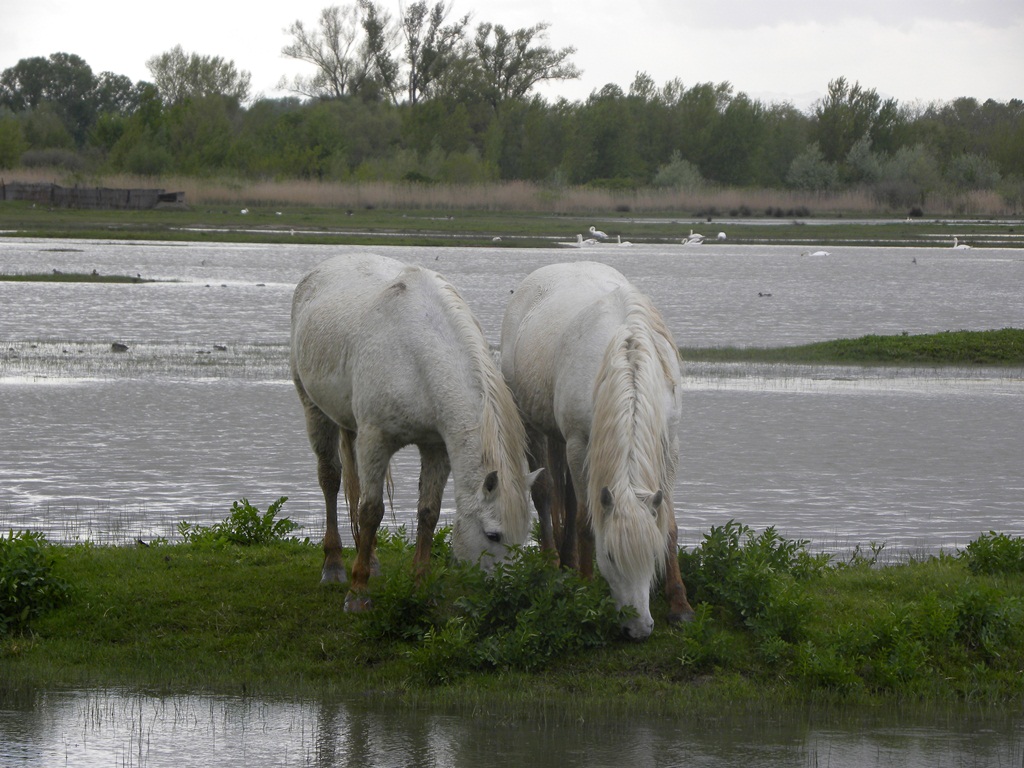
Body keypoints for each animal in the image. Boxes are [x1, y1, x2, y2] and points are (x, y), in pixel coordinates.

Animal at [292, 256, 536, 610]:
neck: (417, 356)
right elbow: (372, 511)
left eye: (525, 536)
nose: (511, 598)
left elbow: (427, 513)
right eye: (493, 535)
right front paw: (358, 593)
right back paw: (334, 565)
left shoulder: (436, 448)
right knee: (330, 479)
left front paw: (420, 587)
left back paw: (371, 559)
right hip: (314, 408)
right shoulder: (375, 439)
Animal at [499, 262, 692, 638]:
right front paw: (585, 589)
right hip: (535, 426)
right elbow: (587, 522)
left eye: (651, 555)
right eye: (611, 556)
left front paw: (680, 604)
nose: (638, 628)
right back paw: (553, 564)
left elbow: (669, 525)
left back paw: (568, 561)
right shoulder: (578, 441)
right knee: (546, 494)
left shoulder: (671, 444)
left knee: (569, 496)